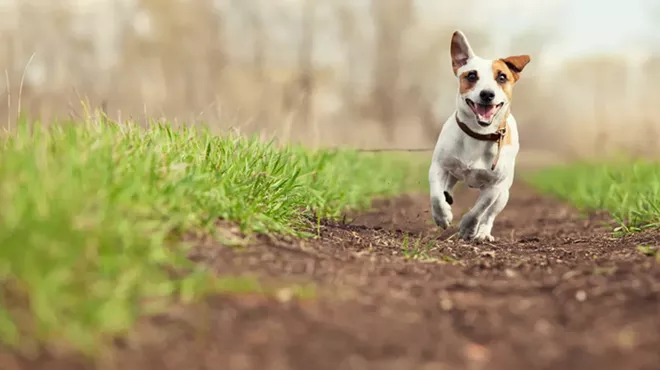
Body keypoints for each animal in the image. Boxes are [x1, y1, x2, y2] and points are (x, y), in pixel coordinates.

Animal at [428, 29, 532, 243]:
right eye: (471, 75)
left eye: (502, 77)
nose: (487, 94)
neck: (478, 134)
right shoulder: (439, 166)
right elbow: (436, 195)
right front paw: (442, 215)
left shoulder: (494, 187)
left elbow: (479, 210)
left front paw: (469, 228)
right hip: (453, 174)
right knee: (446, 188)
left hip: (504, 194)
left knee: (489, 215)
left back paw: (483, 233)